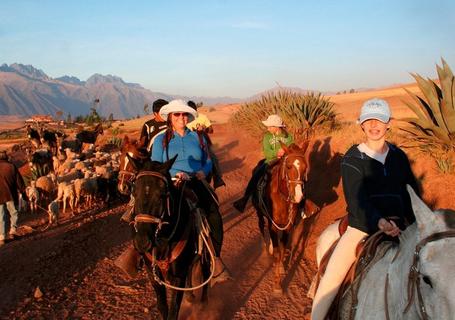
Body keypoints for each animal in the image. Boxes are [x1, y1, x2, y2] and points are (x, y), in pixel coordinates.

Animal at [253, 142, 318, 292]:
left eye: (305, 167)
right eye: (288, 166)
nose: (298, 196)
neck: (282, 198)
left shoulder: (288, 227)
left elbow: (282, 249)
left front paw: (282, 268)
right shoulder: (273, 225)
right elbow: (277, 253)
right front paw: (277, 284)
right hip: (260, 214)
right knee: (261, 227)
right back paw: (266, 251)